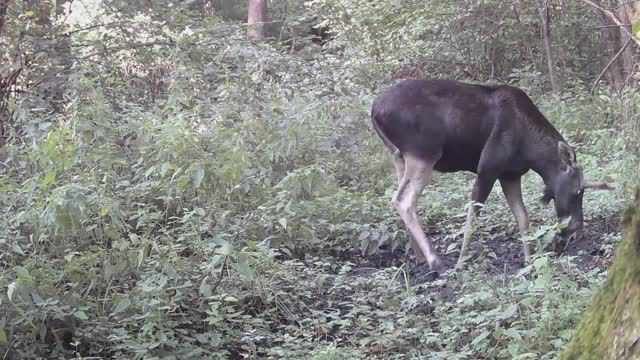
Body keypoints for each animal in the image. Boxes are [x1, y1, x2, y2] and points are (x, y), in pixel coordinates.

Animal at [372, 78, 612, 270]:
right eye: (577, 191)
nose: (575, 230)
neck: (532, 153)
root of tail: (373, 111)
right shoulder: (487, 169)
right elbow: (473, 217)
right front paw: (461, 263)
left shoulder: (510, 175)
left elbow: (522, 217)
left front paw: (529, 260)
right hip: (424, 153)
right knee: (403, 200)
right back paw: (435, 261)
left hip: (398, 155)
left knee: (400, 197)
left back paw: (420, 257)